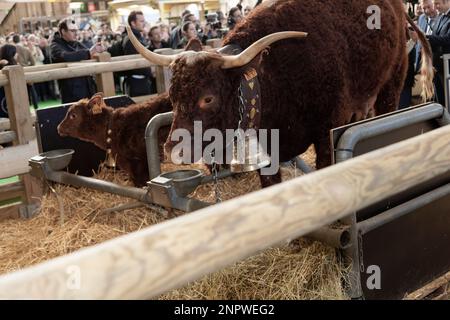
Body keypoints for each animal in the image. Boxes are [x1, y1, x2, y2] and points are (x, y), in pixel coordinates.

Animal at [125, 0, 432, 188]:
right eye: (173, 95)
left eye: (208, 98)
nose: (173, 148)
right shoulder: (267, 149)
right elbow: (271, 183)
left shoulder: (328, 129)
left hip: (392, 83)